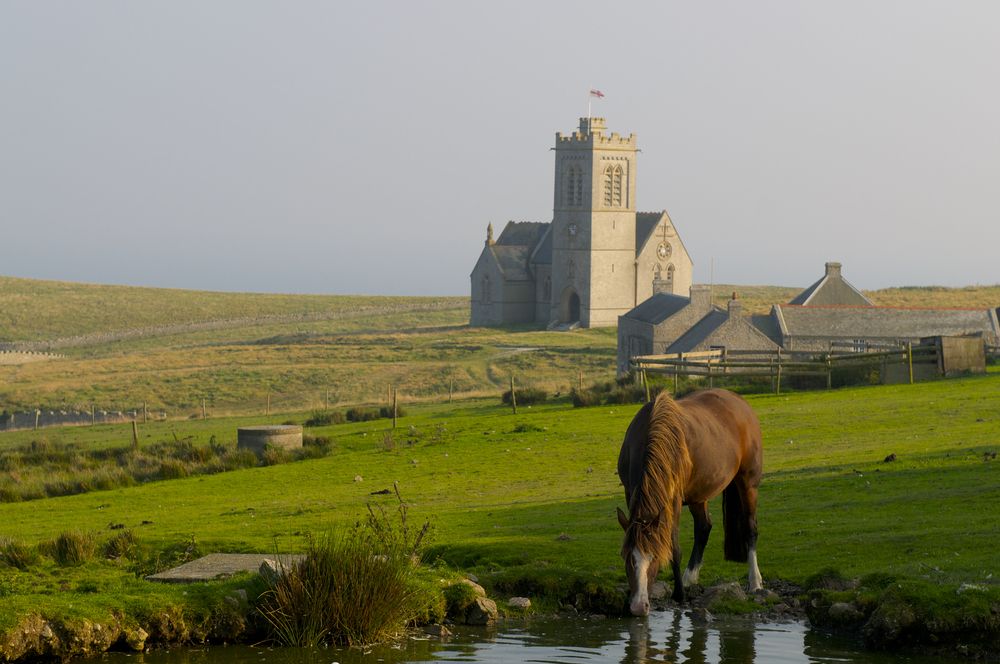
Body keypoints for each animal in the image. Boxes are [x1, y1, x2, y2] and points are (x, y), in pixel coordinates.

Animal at [612, 386, 760, 616]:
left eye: (655, 557)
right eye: (625, 556)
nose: (638, 606)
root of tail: (740, 403)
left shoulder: (673, 500)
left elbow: (674, 546)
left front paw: (679, 594)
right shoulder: (630, 492)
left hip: (748, 483)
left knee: (750, 528)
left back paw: (755, 582)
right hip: (699, 494)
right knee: (704, 527)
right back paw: (690, 577)